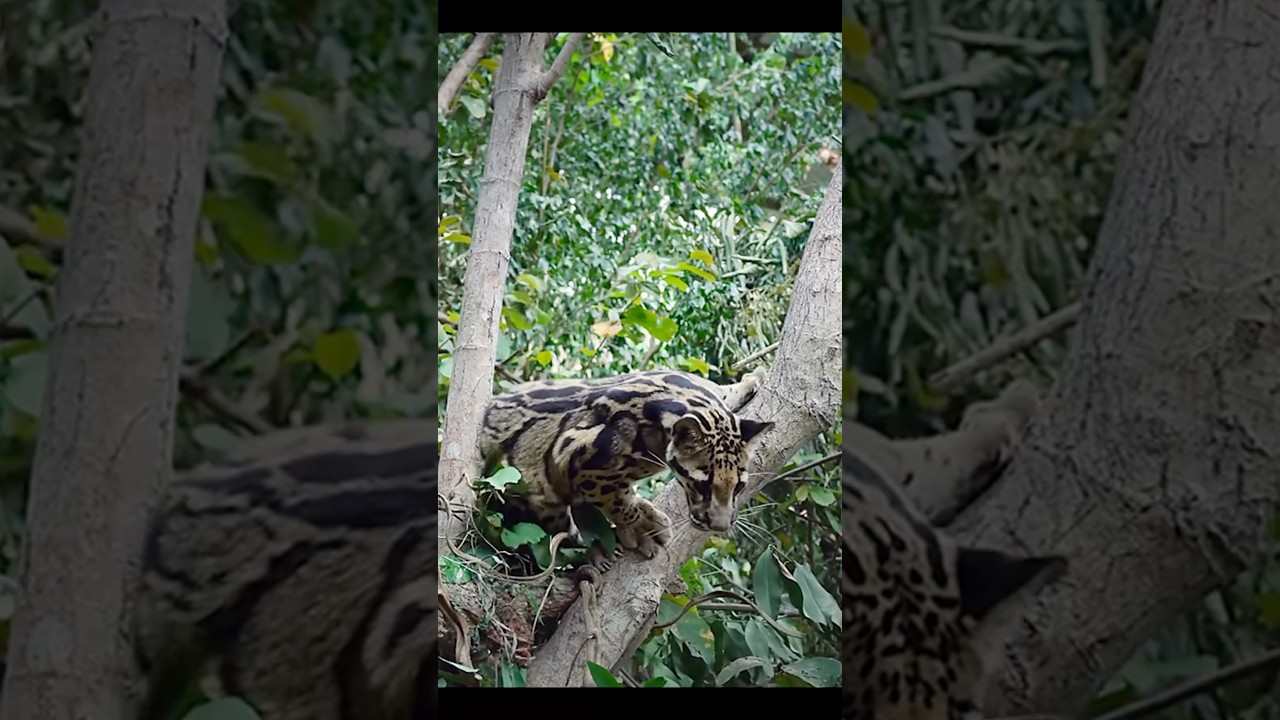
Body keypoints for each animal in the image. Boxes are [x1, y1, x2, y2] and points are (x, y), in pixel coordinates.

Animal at [478, 367, 772, 566]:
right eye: (703, 485)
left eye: (739, 487)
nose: (720, 527)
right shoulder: (578, 454)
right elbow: (618, 500)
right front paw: (643, 527)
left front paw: (750, 381)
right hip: (533, 489)